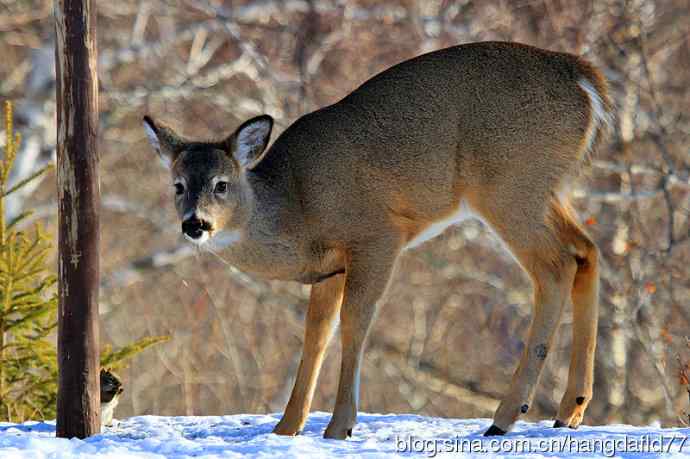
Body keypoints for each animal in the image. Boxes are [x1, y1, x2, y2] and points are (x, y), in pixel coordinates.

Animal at [144, 42, 612, 438]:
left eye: (221, 185)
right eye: (177, 185)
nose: (195, 224)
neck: (297, 207)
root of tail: (585, 80)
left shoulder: (377, 235)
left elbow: (355, 320)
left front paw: (340, 426)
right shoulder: (329, 269)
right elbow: (316, 334)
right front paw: (286, 428)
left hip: (509, 186)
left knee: (555, 267)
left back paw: (506, 416)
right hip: (544, 190)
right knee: (587, 250)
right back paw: (570, 409)